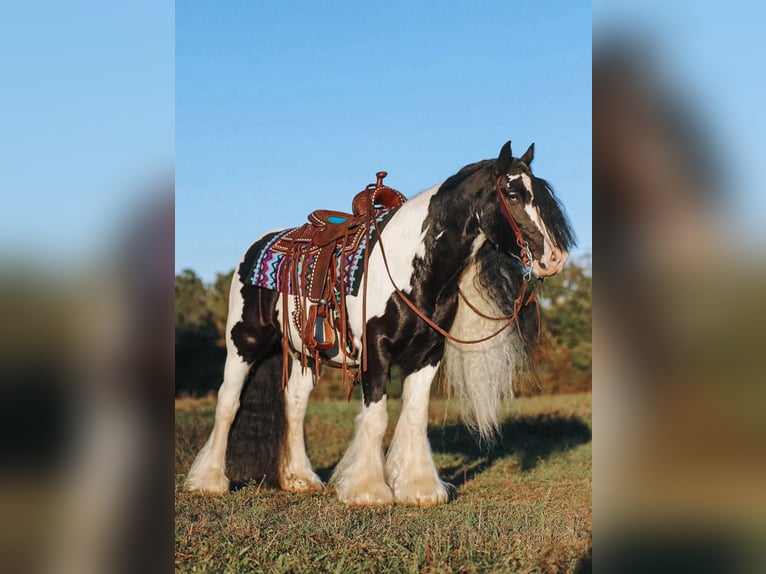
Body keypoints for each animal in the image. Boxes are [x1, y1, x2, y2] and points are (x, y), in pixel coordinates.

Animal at [186, 142, 576, 506]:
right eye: (513, 194)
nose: (555, 258)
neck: (413, 267)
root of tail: (257, 246)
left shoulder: (428, 354)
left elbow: (415, 416)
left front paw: (419, 489)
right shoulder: (376, 352)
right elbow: (376, 419)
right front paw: (368, 490)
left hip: (305, 354)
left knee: (294, 404)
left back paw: (299, 479)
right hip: (244, 343)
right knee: (228, 404)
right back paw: (209, 481)